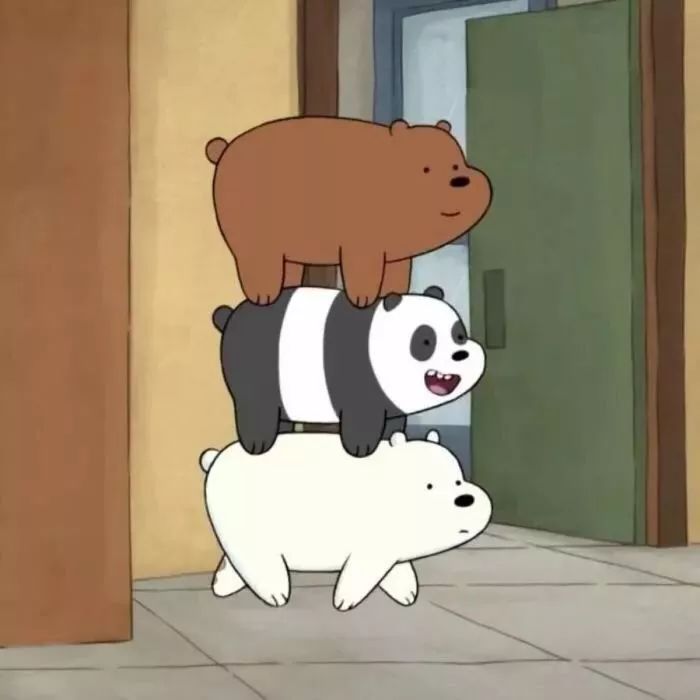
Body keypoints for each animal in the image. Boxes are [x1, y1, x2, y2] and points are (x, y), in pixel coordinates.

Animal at [200, 429, 493, 612]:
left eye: (458, 480)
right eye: (430, 485)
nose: (466, 499)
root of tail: (215, 458)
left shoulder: (391, 549)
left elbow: (398, 571)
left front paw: (407, 594)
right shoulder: (370, 548)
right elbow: (359, 576)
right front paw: (344, 602)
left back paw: (223, 586)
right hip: (247, 533)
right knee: (258, 563)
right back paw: (276, 595)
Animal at [205, 116, 493, 308]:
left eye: (457, 164)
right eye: (426, 169)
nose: (461, 180)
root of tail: (224, 149)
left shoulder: (396, 255)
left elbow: (397, 277)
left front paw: (393, 296)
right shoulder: (361, 246)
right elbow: (363, 275)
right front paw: (363, 300)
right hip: (253, 242)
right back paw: (263, 297)